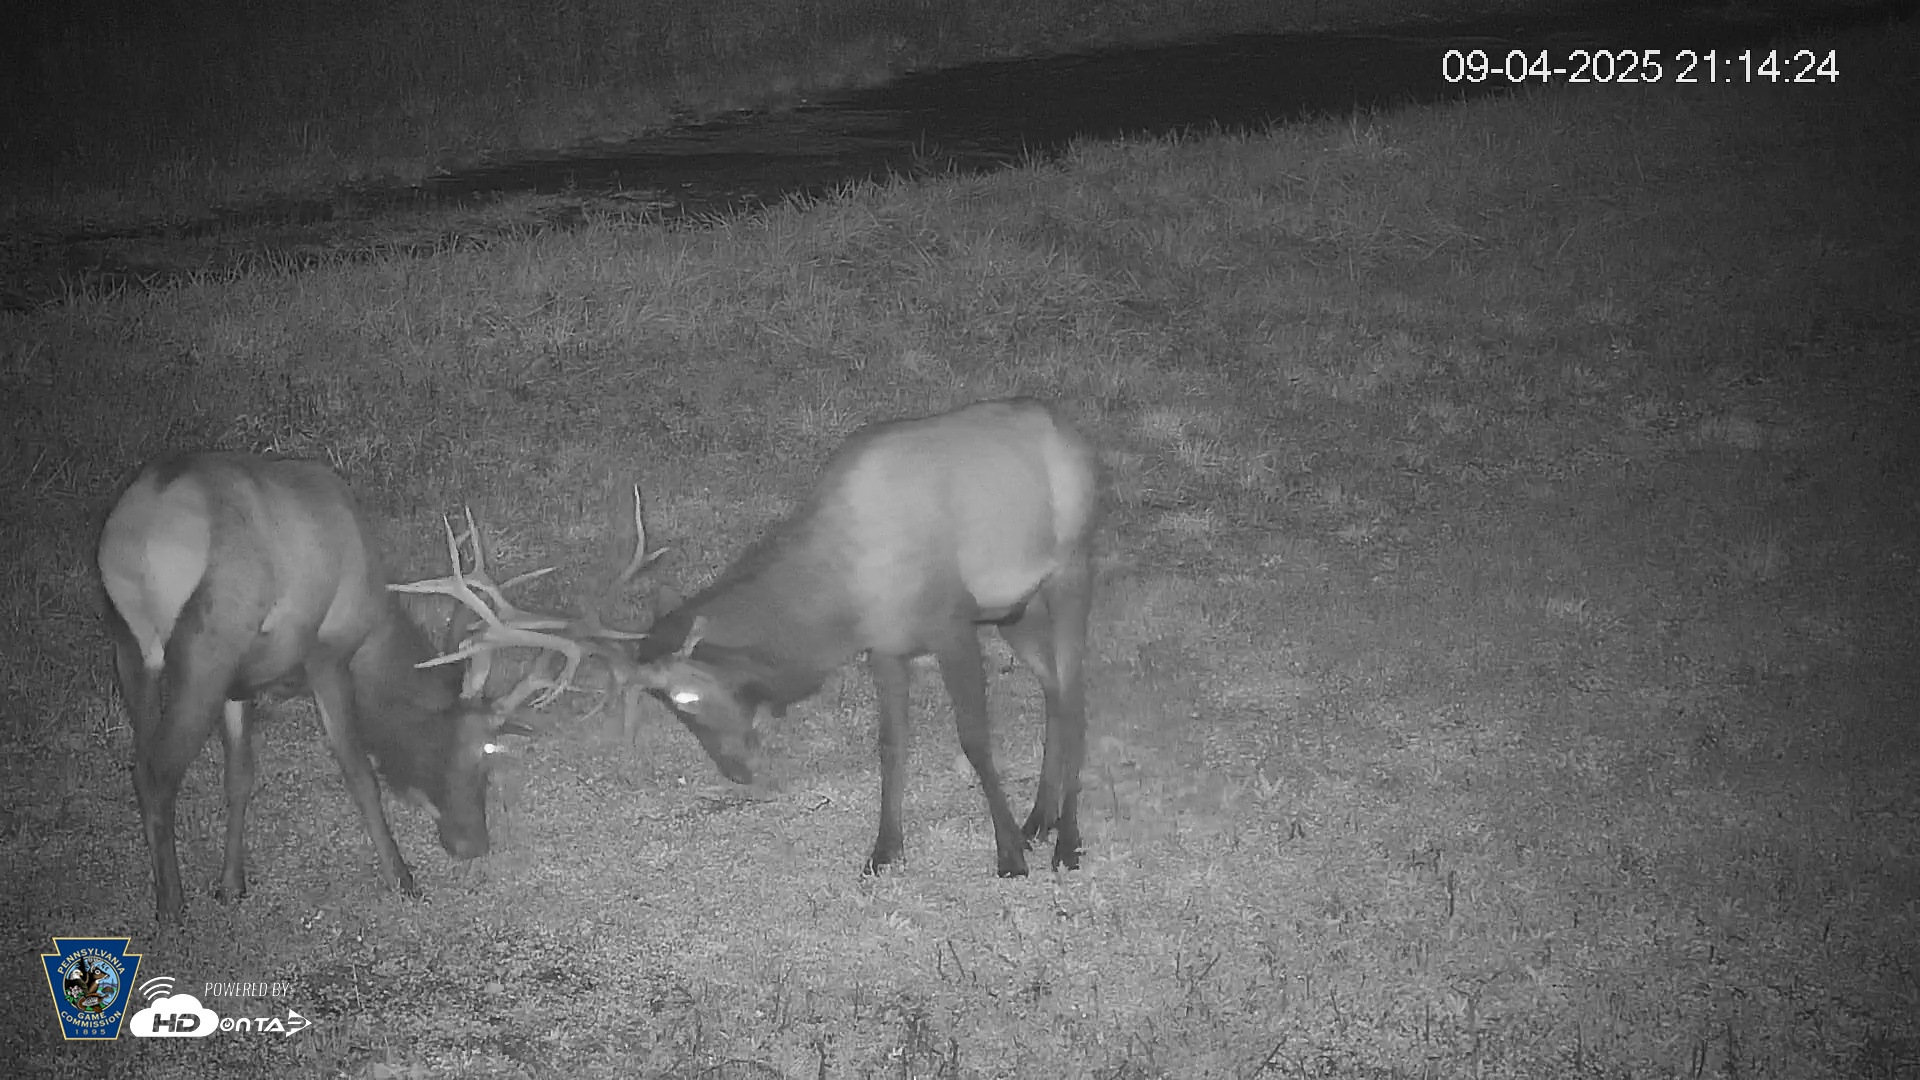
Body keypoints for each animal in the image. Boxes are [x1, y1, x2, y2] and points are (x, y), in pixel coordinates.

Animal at [97, 452, 531, 923]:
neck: (375, 634)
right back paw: (172, 908)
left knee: (141, 762)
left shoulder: (239, 683)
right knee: (157, 773)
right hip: (206, 651)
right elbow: (359, 773)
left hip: (131, 648)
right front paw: (403, 879)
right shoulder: (328, 655)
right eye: (477, 752)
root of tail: (138, 534)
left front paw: (231, 884)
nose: (475, 843)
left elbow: (240, 777)